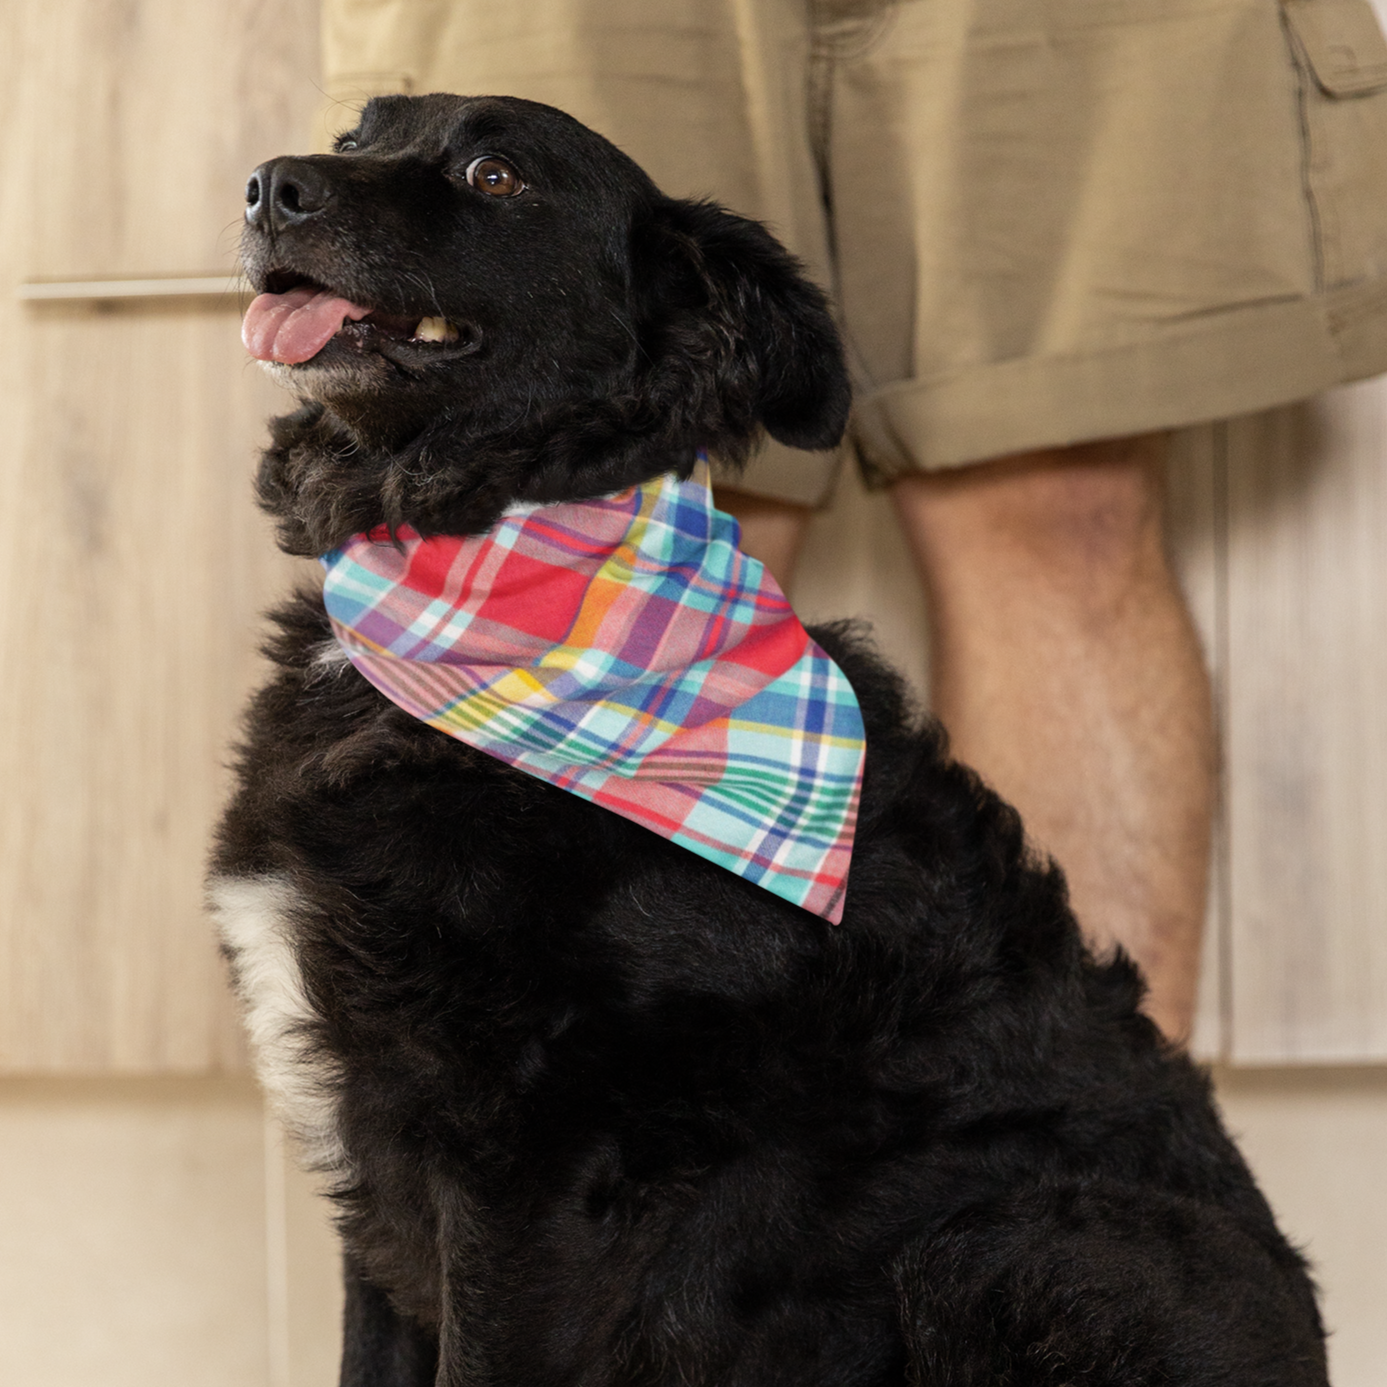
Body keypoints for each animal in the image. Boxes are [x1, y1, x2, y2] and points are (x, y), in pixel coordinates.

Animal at [210, 92, 1325, 1381]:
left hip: (1006, 1243)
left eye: (496, 175)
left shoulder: (525, 1169)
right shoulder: (380, 1153)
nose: (267, 186)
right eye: (358, 137)